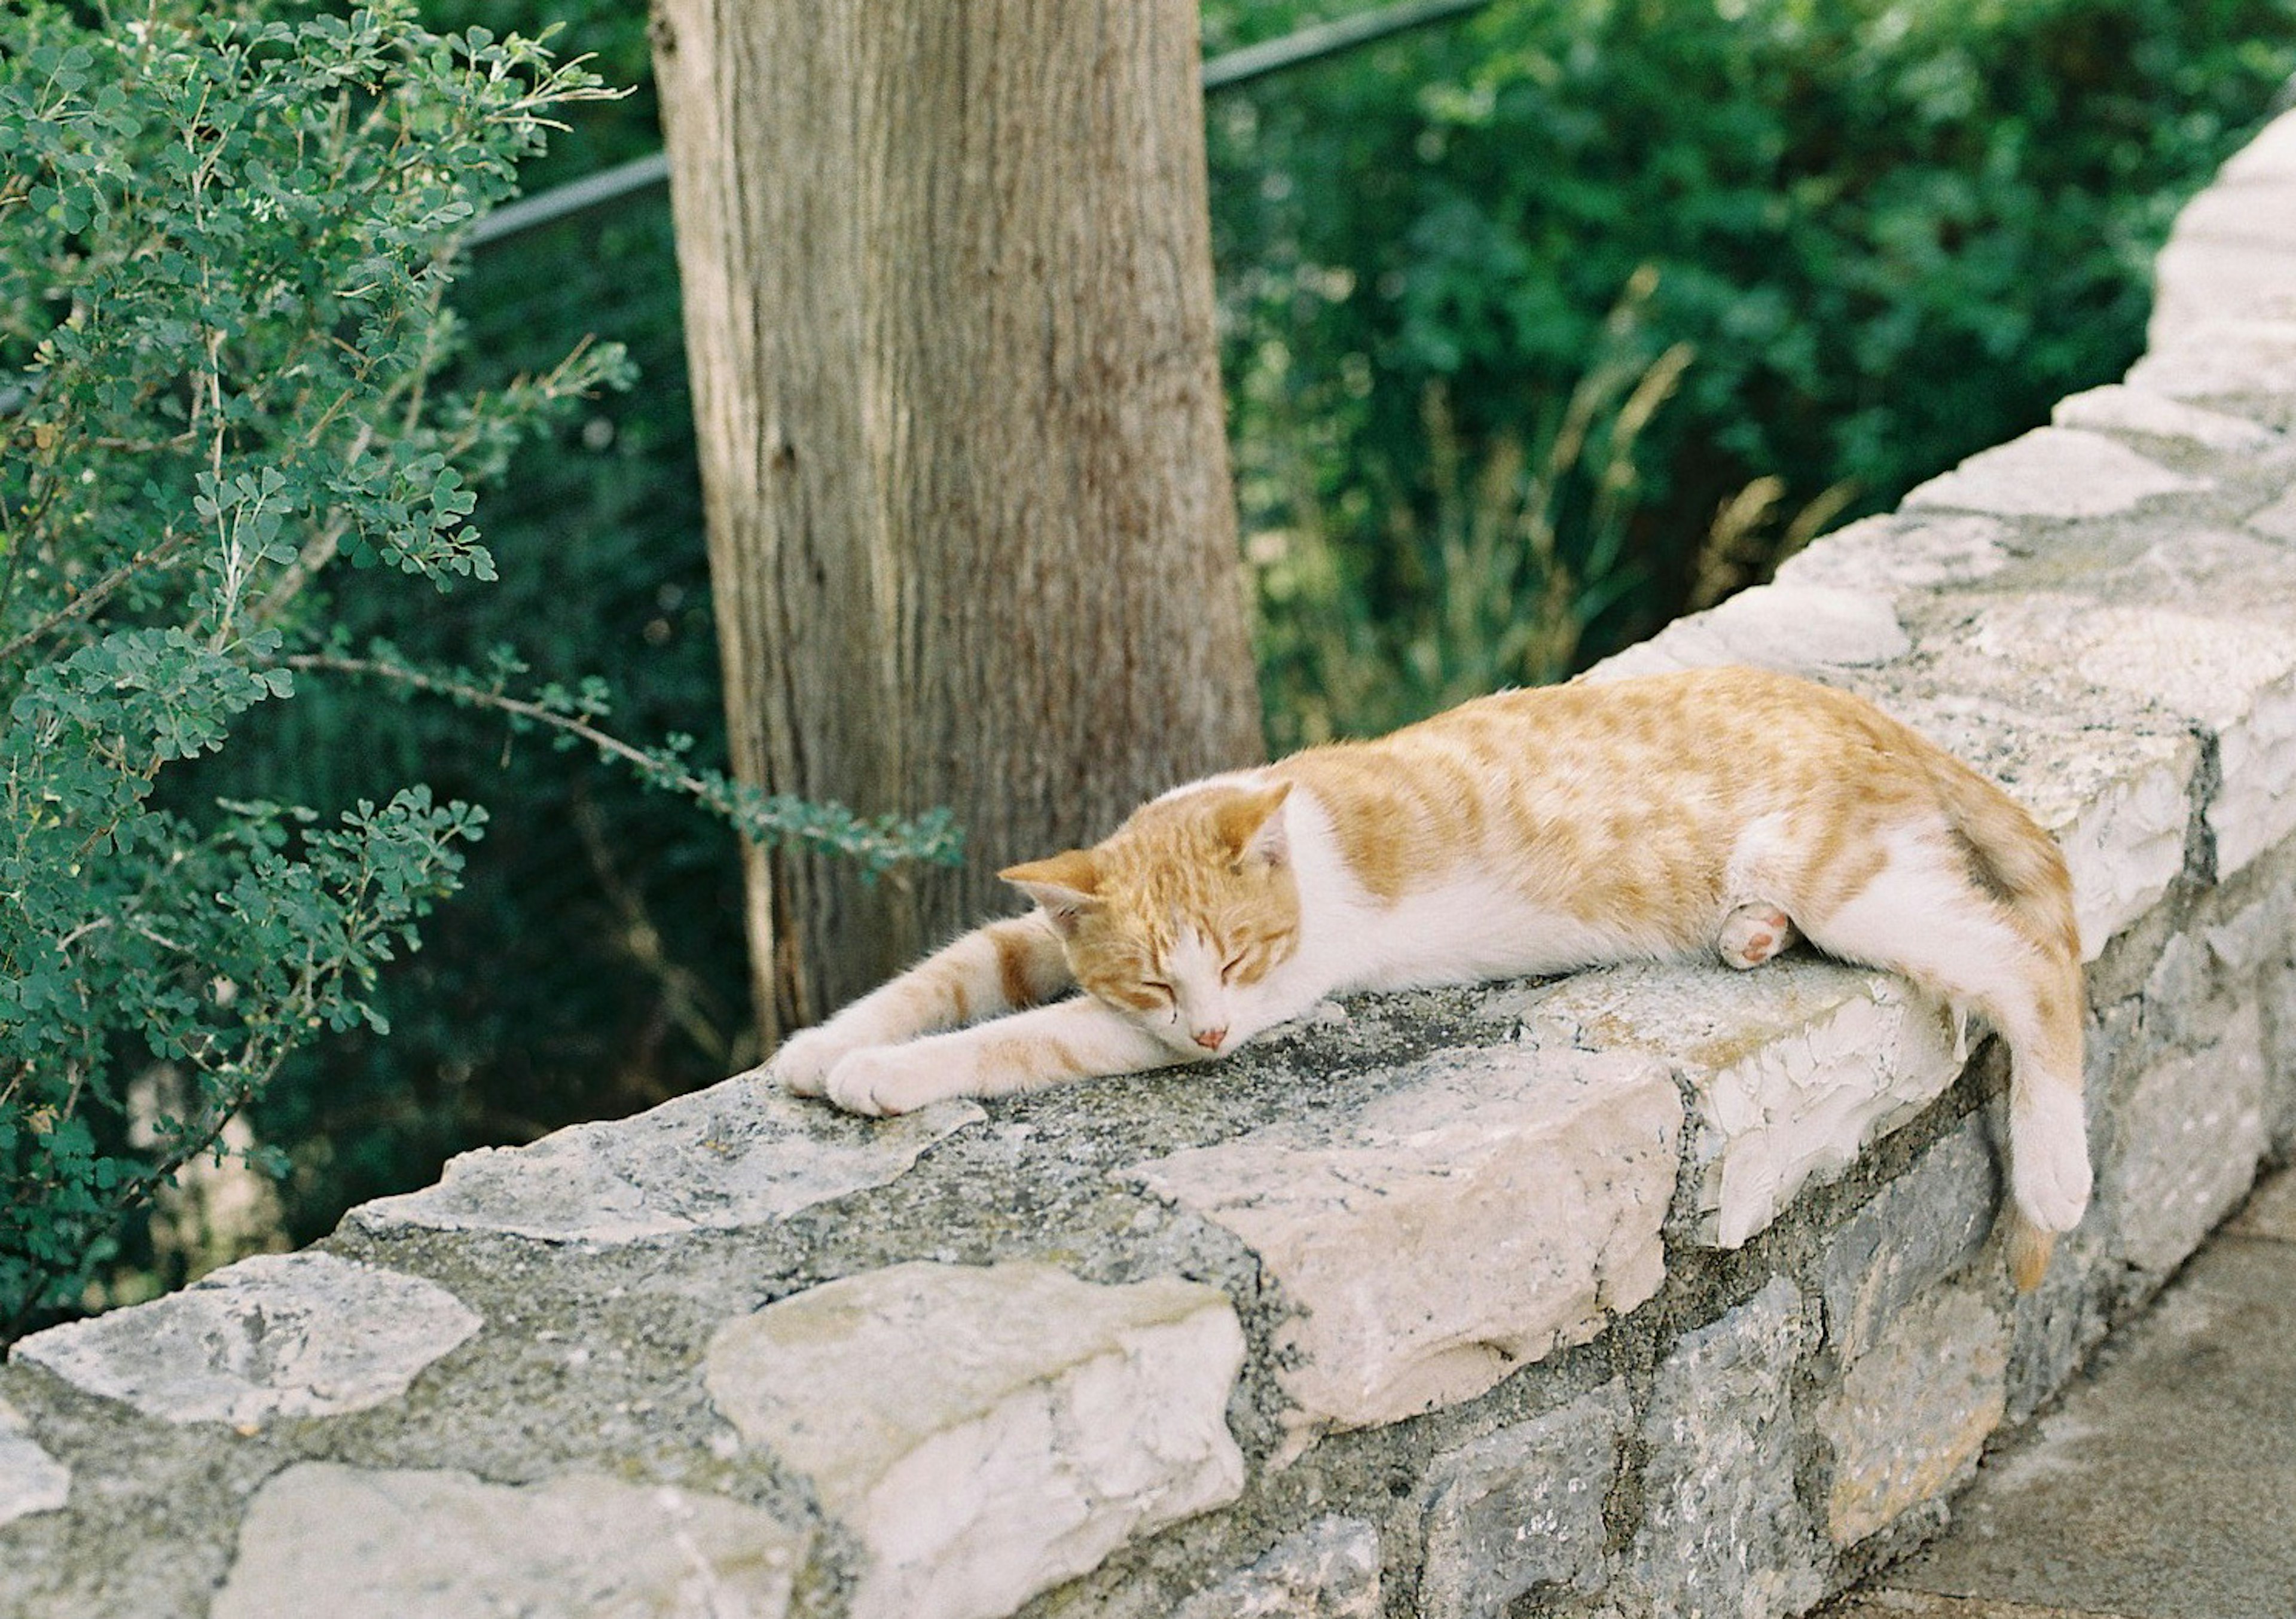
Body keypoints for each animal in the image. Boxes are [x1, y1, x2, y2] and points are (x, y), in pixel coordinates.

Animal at [775, 661, 2103, 1286]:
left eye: (1240, 959)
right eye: (1157, 979)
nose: (1207, 1038)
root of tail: (1872, 714)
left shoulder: (1256, 1001)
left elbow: (1017, 1036)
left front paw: (883, 1075)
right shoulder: (1052, 947)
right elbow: (953, 969)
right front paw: (819, 1045)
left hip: (1848, 873)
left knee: (2033, 964)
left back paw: (2056, 1170)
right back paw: (1750, 934)